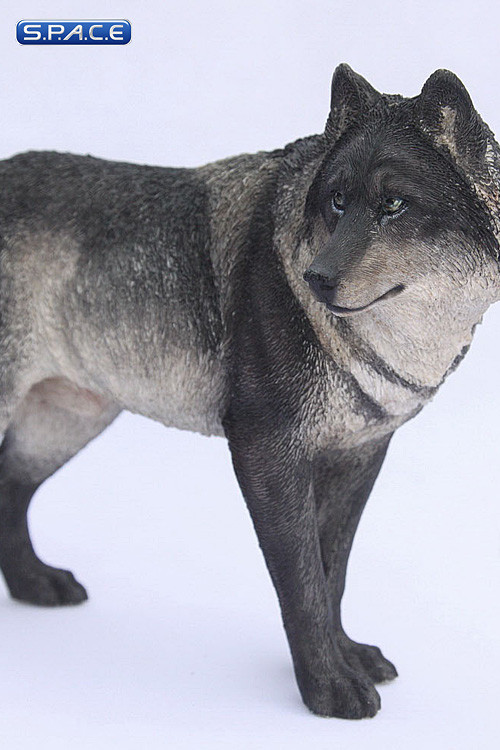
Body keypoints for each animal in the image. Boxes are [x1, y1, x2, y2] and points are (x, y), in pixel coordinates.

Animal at [0, 64, 498, 719]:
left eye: (394, 204)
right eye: (338, 199)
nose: (316, 278)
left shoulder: (359, 456)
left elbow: (332, 573)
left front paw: (347, 657)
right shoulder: (267, 453)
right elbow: (302, 583)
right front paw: (328, 687)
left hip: (66, 422)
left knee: (9, 488)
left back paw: (35, 585)